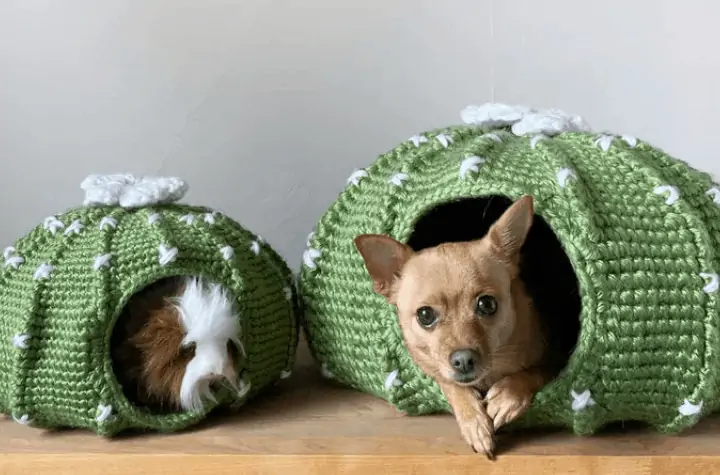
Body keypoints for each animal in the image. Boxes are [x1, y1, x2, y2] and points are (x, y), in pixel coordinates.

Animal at [356, 196, 552, 458]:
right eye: (425, 315)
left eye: (487, 304)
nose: (463, 360)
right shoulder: (432, 369)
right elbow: (451, 384)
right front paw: (474, 422)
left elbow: (534, 372)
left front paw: (507, 396)